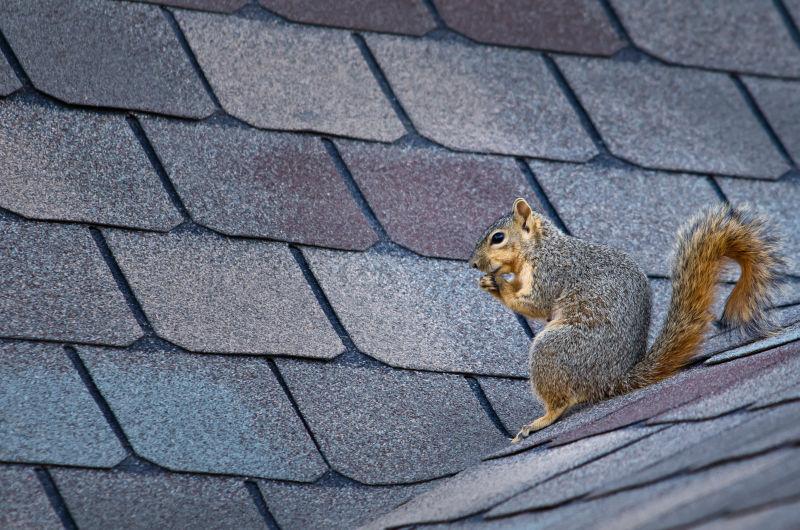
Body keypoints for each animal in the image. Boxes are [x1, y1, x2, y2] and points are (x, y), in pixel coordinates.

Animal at [468, 196, 780, 440]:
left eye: (498, 237)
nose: (472, 263)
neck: (540, 247)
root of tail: (613, 380)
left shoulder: (552, 271)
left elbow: (537, 303)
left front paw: (499, 285)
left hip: (555, 350)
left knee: (560, 401)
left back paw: (540, 421)